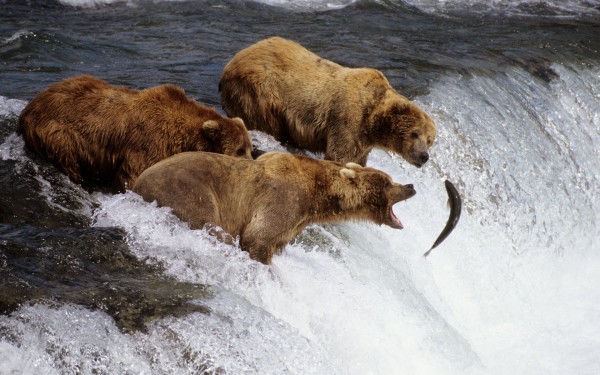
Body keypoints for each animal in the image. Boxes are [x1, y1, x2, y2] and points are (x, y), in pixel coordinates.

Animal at [18, 74, 253, 191]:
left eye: (250, 148)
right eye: (239, 150)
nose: (252, 165)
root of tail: (28, 108)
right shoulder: (148, 143)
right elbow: (134, 175)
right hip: (59, 134)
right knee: (69, 161)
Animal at [134, 151, 418, 266]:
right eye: (387, 182)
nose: (410, 185)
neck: (316, 197)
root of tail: (136, 183)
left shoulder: (295, 222)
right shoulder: (283, 198)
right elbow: (258, 236)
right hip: (188, 191)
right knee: (210, 225)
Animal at [220, 36, 436, 167]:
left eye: (429, 140)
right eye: (415, 133)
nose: (424, 156)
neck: (373, 121)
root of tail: (231, 62)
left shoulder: (364, 141)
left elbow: (358, 159)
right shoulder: (348, 119)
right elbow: (340, 155)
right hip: (259, 91)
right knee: (266, 122)